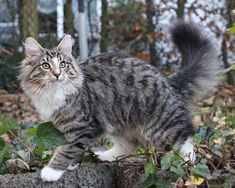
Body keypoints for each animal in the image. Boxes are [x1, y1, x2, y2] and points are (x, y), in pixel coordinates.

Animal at [18, 20, 220, 182]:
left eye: (63, 64)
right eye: (45, 66)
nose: (57, 74)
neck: (54, 92)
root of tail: (167, 80)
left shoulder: (82, 127)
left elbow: (66, 150)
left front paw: (51, 172)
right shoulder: (66, 129)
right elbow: (72, 150)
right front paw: (72, 166)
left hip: (161, 127)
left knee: (186, 137)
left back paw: (188, 161)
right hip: (119, 123)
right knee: (129, 146)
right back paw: (105, 157)